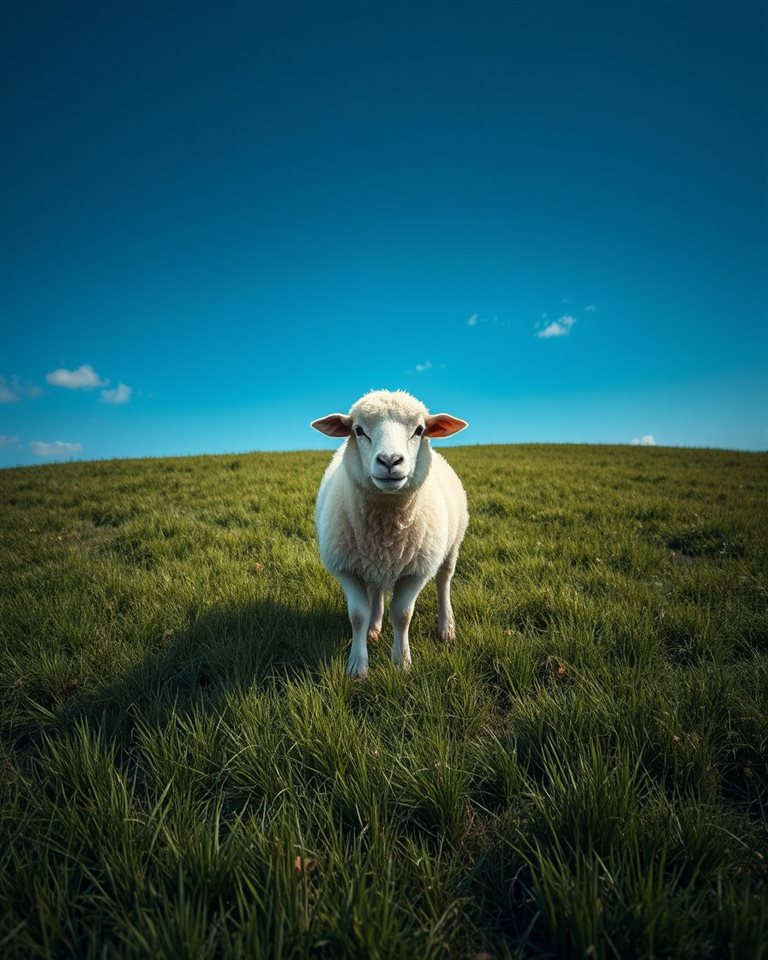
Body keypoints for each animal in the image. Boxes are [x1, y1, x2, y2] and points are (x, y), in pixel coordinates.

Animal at [311, 389, 468, 677]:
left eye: (419, 430)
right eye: (358, 430)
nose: (390, 461)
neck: (385, 526)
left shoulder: (417, 572)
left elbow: (402, 614)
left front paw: (402, 662)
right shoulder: (347, 569)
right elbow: (358, 615)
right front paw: (358, 666)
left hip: (453, 544)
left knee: (444, 581)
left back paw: (446, 628)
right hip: (372, 564)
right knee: (377, 590)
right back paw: (374, 627)